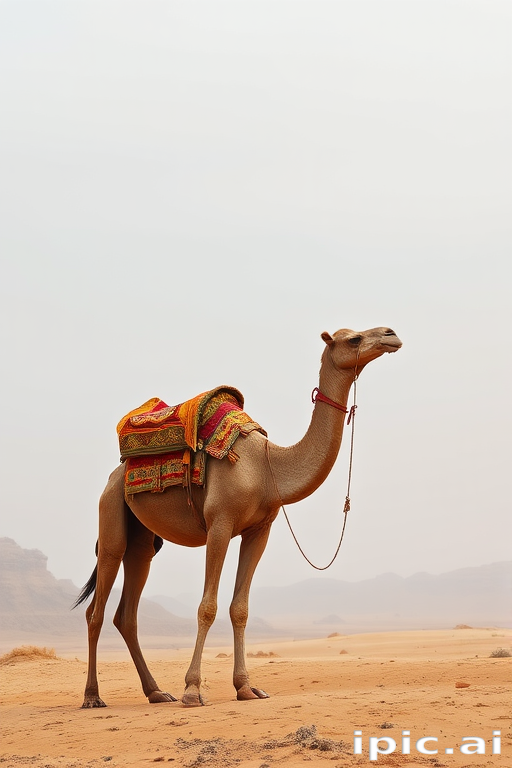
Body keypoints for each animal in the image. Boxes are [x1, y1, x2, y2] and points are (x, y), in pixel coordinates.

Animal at [75, 326, 401, 708]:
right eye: (353, 339)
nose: (391, 335)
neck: (267, 467)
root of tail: (116, 473)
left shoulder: (260, 529)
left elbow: (239, 608)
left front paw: (246, 687)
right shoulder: (220, 523)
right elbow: (208, 606)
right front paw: (192, 690)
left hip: (143, 540)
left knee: (127, 611)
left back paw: (156, 692)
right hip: (111, 511)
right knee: (96, 608)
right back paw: (93, 696)